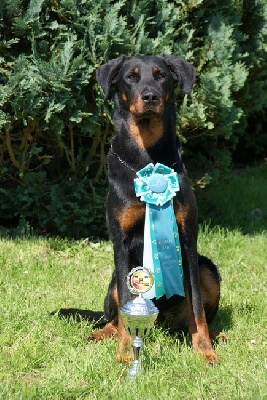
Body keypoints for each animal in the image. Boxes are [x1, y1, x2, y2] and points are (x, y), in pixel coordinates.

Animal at [57, 54, 222, 364]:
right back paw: (101, 333)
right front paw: (124, 353)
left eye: (161, 76)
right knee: (111, 317)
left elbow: (197, 307)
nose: (150, 96)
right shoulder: (121, 243)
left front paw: (205, 350)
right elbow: (125, 308)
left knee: (195, 315)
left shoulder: (186, 239)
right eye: (131, 77)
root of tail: (162, 323)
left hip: (208, 269)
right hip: (113, 281)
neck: (146, 159)